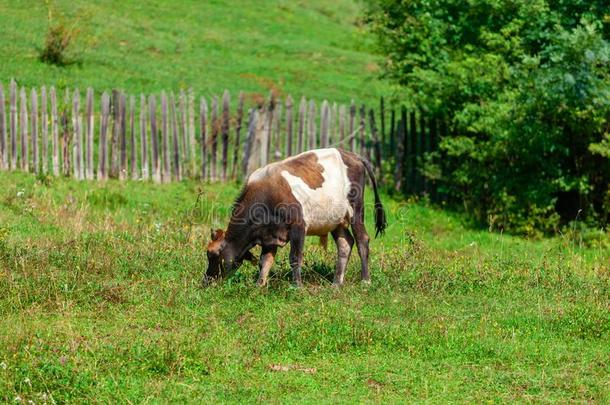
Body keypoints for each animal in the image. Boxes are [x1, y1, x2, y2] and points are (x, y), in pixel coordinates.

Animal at [204, 147, 384, 286]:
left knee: (362, 240)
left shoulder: (298, 226)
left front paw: (297, 286)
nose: (206, 281)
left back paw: (365, 281)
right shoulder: (269, 235)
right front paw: (259, 286)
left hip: (356, 211)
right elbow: (265, 261)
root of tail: (353, 155)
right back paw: (336, 284)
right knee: (345, 243)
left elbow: (295, 257)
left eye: (214, 255)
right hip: (336, 220)